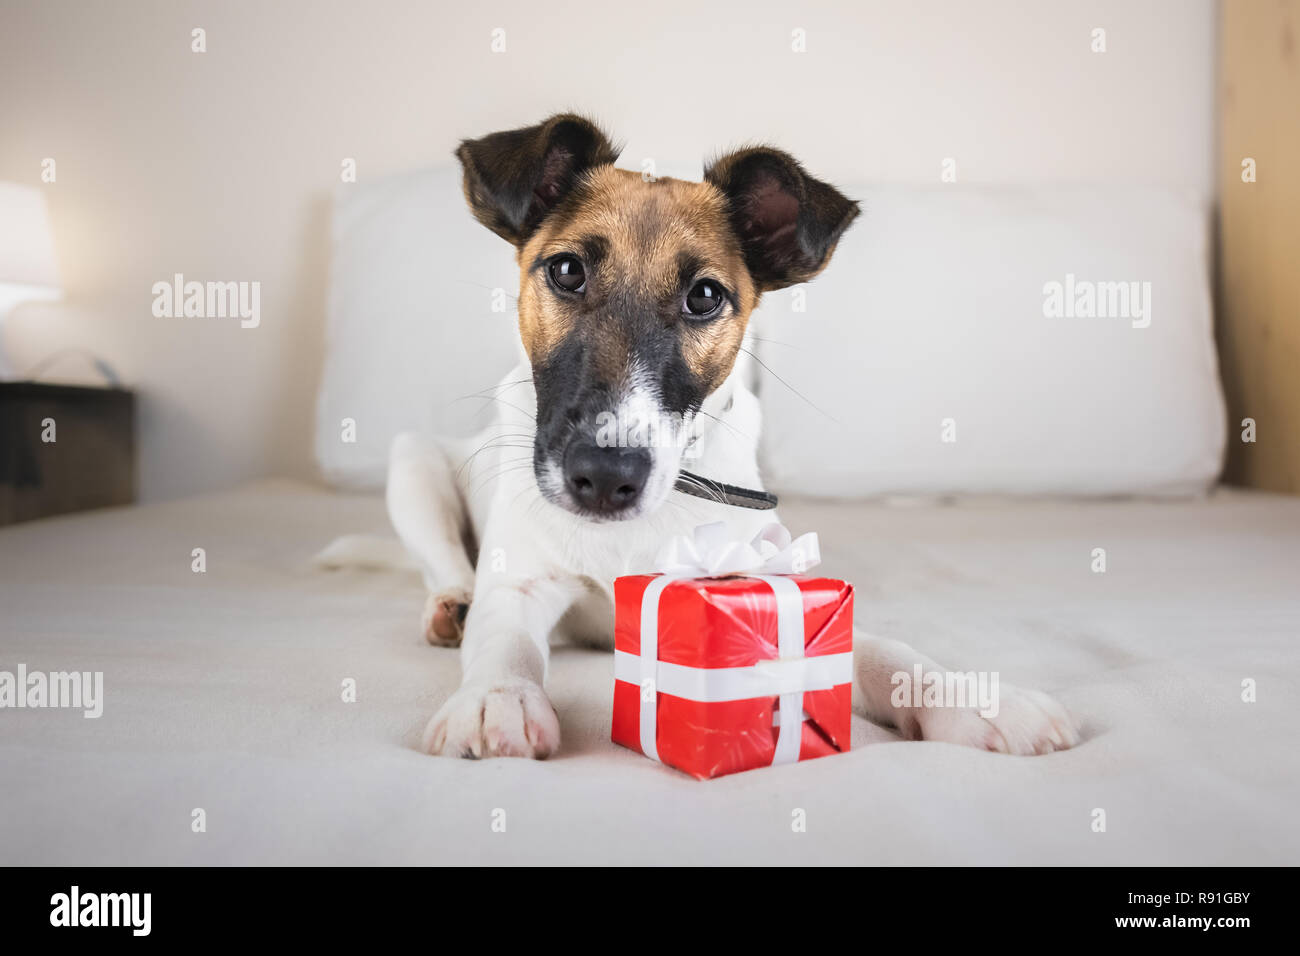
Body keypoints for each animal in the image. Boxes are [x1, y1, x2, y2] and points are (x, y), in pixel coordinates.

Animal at [374, 115, 1076, 759]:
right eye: (567, 270)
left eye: (705, 295)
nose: (605, 477)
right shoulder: (519, 583)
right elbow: (503, 640)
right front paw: (496, 699)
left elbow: (884, 651)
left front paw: (973, 698)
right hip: (413, 464)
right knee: (445, 564)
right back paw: (450, 606)